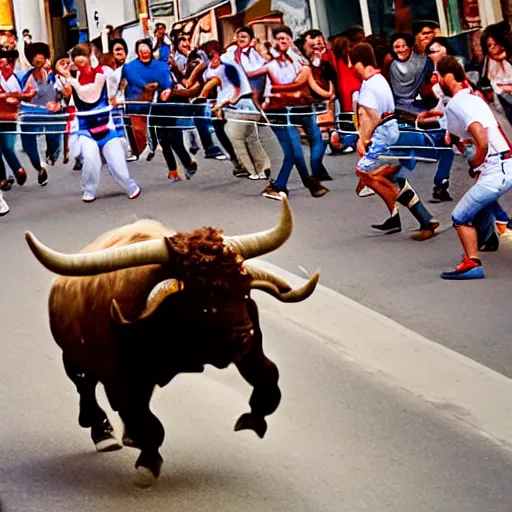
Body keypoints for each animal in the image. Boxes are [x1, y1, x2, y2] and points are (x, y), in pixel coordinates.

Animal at [27, 198, 320, 486]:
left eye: (245, 288)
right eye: (204, 295)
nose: (243, 336)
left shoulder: (251, 349)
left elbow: (269, 379)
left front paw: (254, 418)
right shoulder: (119, 379)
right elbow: (147, 421)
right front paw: (147, 462)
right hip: (73, 358)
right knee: (85, 387)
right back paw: (103, 433)